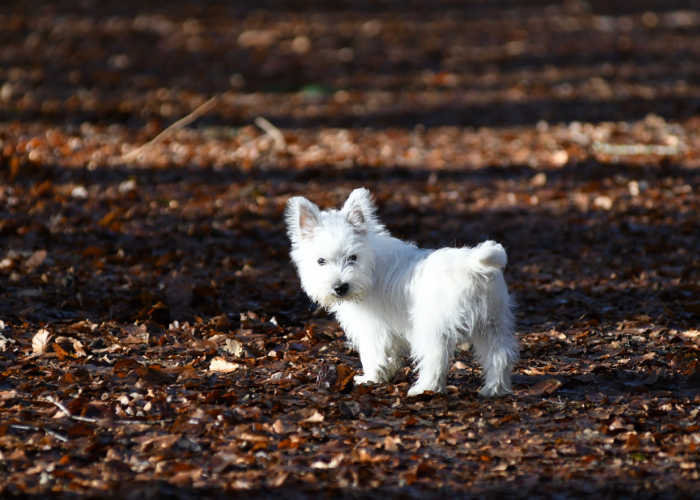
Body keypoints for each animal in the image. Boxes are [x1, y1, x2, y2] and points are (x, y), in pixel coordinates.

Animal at [286, 189, 520, 396]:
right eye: (320, 261)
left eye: (352, 257)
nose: (339, 287)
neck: (370, 265)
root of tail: (474, 266)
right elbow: (390, 356)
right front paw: (387, 373)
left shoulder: (372, 327)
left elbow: (372, 354)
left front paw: (370, 378)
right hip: (491, 325)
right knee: (500, 356)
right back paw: (493, 390)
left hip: (433, 328)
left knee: (436, 358)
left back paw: (424, 389)